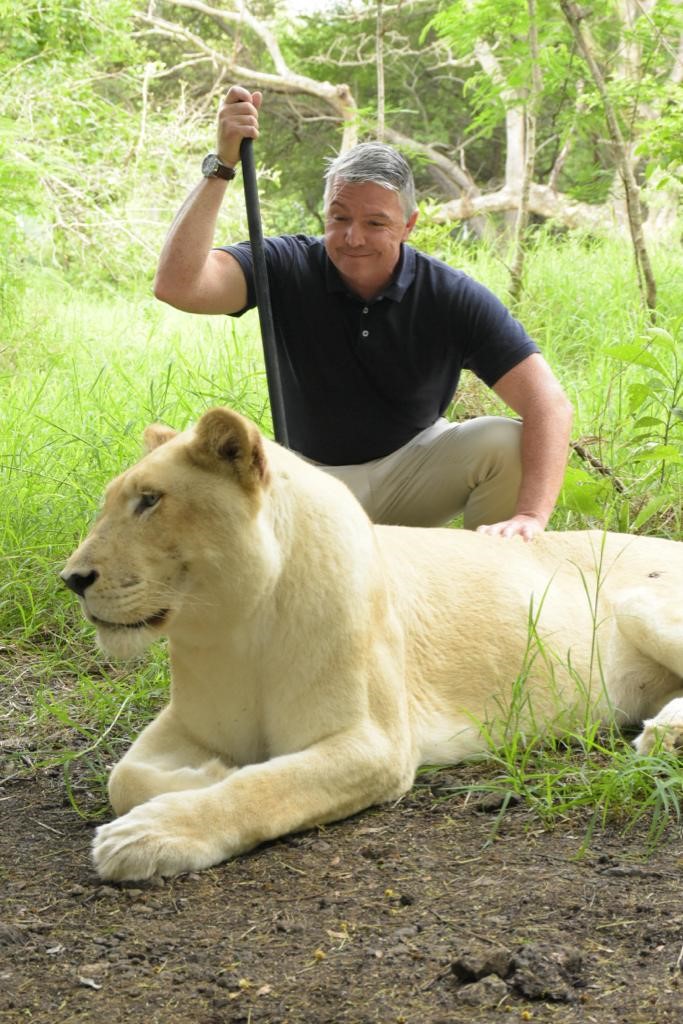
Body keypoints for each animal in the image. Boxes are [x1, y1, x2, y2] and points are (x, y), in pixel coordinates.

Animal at [61, 407, 683, 882]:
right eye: (112, 502)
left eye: (149, 500)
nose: (72, 579)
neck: (237, 627)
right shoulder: (189, 723)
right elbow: (123, 777)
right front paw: (205, 774)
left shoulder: (377, 744)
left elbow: (267, 787)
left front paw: (152, 831)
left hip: (643, 604)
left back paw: (664, 737)